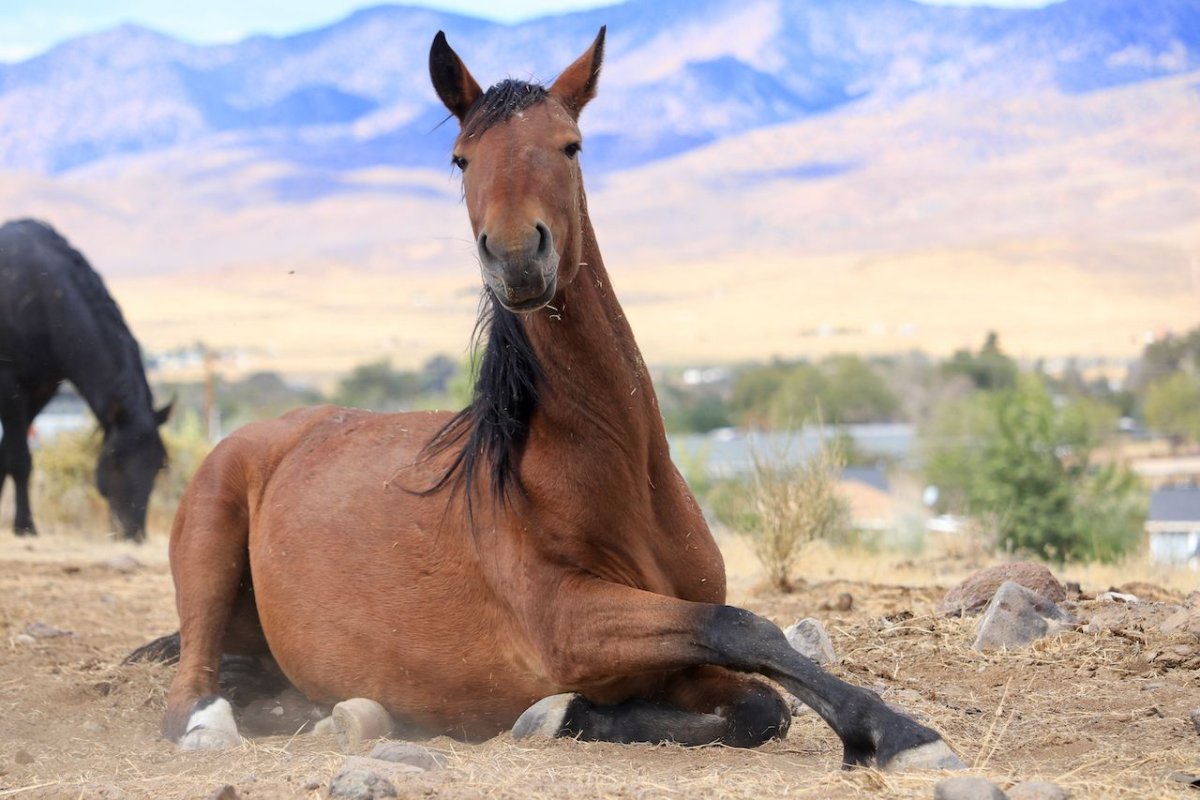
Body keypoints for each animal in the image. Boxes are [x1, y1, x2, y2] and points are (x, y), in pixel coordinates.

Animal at [0, 219, 171, 541]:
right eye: (115, 459)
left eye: (159, 464)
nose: (133, 534)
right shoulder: (10, 385)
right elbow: (20, 459)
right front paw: (25, 525)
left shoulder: (40, 392)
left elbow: (5, 453)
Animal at [149, 28, 963, 771]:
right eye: (461, 158)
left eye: (571, 146)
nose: (515, 255)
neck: (621, 476)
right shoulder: (569, 624)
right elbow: (742, 627)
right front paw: (901, 733)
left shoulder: (673, 657)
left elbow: (761, 700)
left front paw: (567, 716)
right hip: (211, 527)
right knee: (189, 683)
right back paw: (216, 723)